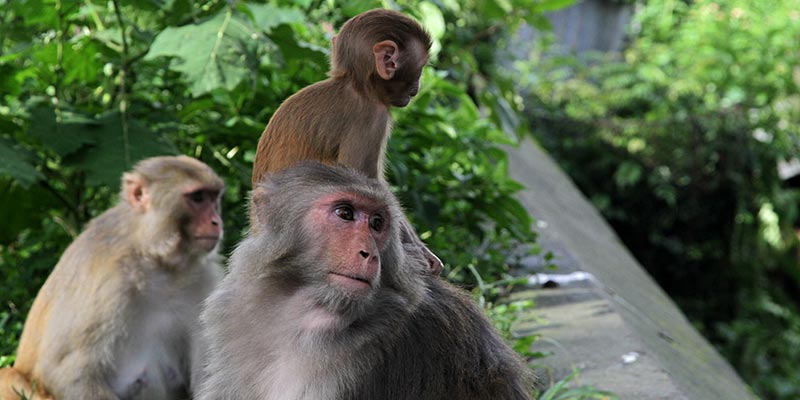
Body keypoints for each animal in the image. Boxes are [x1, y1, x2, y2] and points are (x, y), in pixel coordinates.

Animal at [2, 155, 225, 398]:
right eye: (198, 197)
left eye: (214, 198)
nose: (216, 221)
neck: (156, 260)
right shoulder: (106, 281)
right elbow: (66, 373)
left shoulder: (204, 282)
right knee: (9, 377)